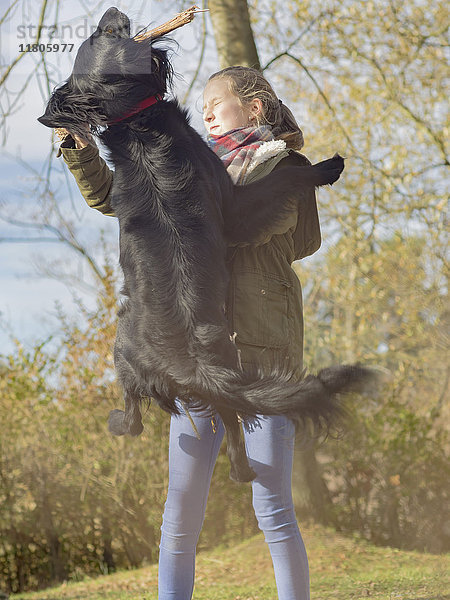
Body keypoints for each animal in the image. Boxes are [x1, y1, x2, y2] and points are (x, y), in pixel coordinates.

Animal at [38, 5, 378, 482]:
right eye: (105, 32)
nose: (111, 8)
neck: (135, 122)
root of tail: (189, 366)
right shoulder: (234, 209)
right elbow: (286, 177)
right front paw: (326, 166)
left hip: (178, 364)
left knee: (191, 416)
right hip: (140, 349)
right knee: (160, 418)